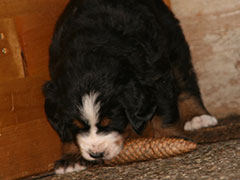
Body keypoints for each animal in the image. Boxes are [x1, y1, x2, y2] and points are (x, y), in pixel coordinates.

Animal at [43, 0, 218, 174]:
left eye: (110, 122)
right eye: (76, 126)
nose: (96, 154)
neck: (90, 57)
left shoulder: (156, 77)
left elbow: (164, 114)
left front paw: (170, 138)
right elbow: (66, 133)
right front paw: (70, 159)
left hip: (173, 42)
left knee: (186, 82)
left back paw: (197, 116)